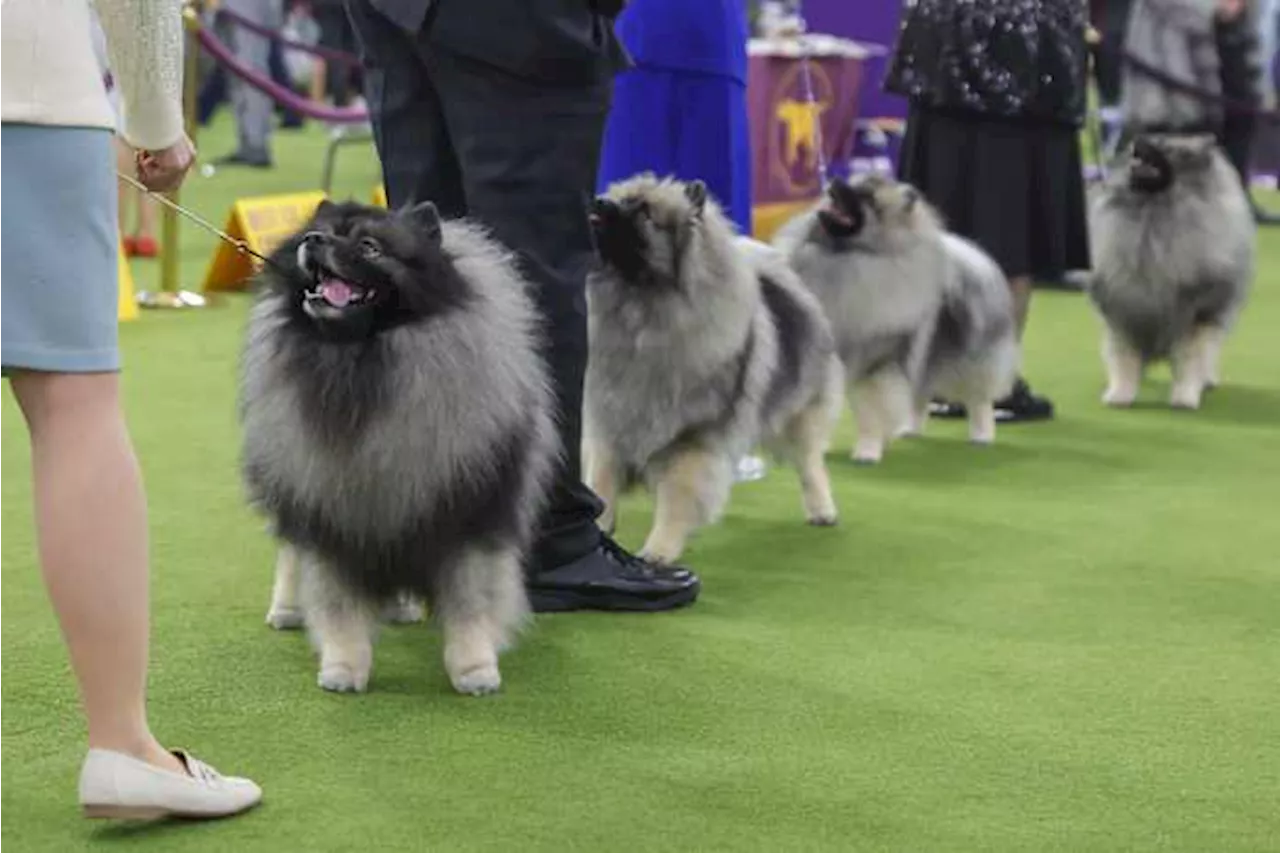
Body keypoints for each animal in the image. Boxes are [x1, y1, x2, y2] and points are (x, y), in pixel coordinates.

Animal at [239, 202, 555, 696]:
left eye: (370, 247)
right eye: (320, 233)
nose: (314, 240)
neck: (362, 362)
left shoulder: (467, 510)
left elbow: (470, 603)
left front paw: (474, 669)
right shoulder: (332, 516)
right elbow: (337, 602)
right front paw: (343, 667)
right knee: (291, 550)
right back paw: (287, 609)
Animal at [586, 174, 844, 563]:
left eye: (645, 213)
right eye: (619, 197)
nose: (600, 202)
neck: (641, 312)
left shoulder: (692, 437)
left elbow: (678, 496)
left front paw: (659, 550)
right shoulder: (611, 423)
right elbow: (602, 482)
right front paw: (599, 528)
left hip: (799, 413)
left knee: (811, 462)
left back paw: (822, 509)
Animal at [773, 174, 1013, 466]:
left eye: (867, 197)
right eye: (852, 184)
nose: (834, 181)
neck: (844, 257)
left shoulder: (876, 365)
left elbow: (870, 413)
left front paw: (868, 450)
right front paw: (821, 446)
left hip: (969, 360)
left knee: (978, 399)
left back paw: (982, 434)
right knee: (920, 393)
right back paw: (910, 429)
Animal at [1085, 133, 1254, 409]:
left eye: (1164, 146)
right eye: (1148, 137)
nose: (1136, 143)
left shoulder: (1195, 315)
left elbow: (1190, 358)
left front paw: (1185, 396)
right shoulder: (1123, 310)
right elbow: (1123, 357)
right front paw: (1120, 394)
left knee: (1211, 349)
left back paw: (1207, 380)